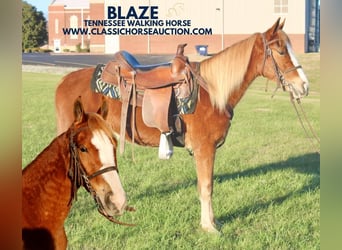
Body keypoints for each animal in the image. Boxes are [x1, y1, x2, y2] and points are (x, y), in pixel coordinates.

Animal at [54, 18, 308, 233]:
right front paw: (209, 227)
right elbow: (206, 187)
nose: (304, 86)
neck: (211, 92)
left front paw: (213, 222)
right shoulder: (204, 149)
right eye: (281, 50)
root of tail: (64, 81)